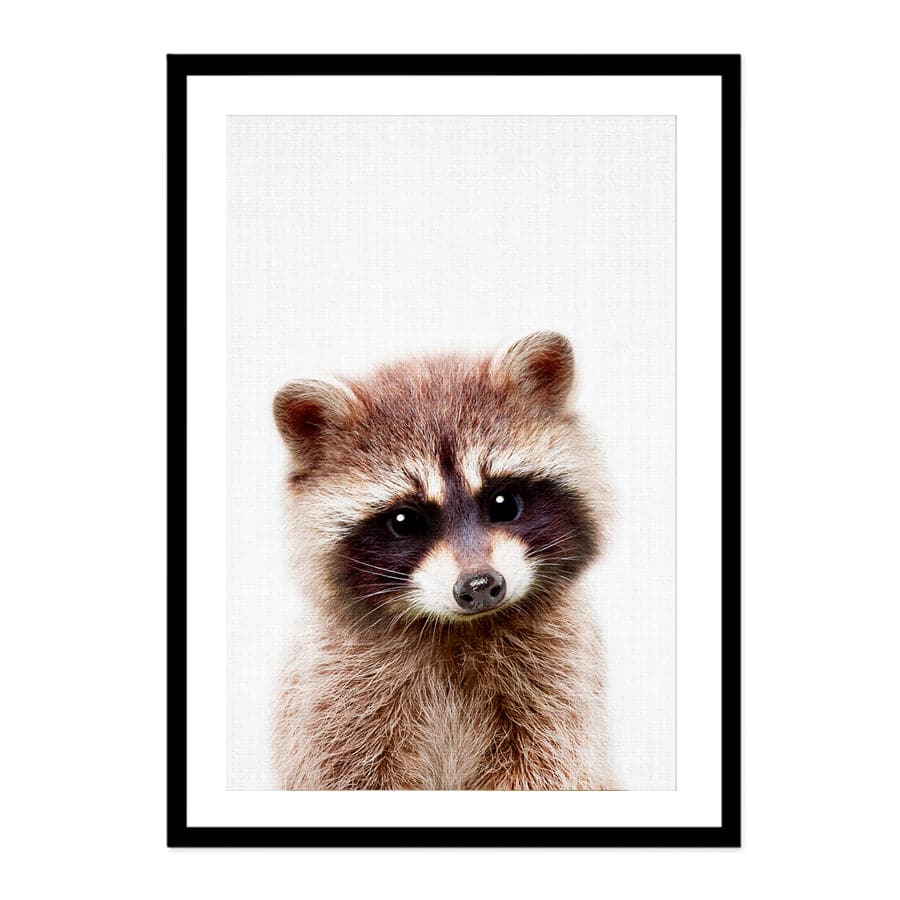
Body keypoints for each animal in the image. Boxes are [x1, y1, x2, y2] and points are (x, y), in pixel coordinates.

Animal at [272, 332, 617, 790]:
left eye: (504, 503)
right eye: (404, 521)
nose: (480, 585)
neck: (457, 630)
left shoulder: (560, 681)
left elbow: (550, 765)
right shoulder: (334, 695)